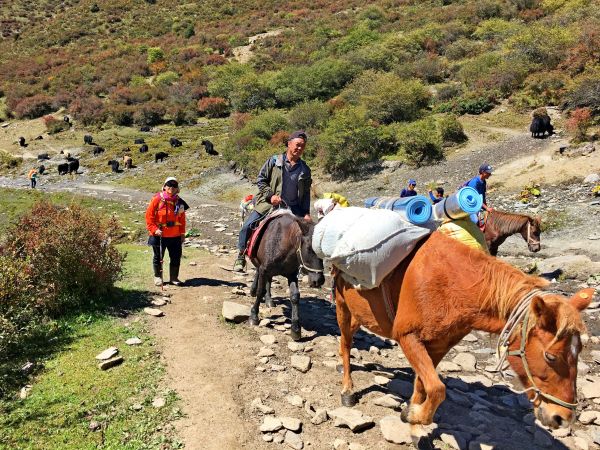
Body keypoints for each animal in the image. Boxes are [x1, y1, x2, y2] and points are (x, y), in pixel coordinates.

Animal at [336, 234, 592, 438]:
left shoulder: (438, 346)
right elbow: (437, 389)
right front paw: (415, 415)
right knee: (345, 345)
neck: (453, 285)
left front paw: (412, 413)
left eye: (578, 351)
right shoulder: (407, 336)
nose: (563, 418)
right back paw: (347, 390)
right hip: (343, 308)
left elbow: (424, 385)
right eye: (550, 356)